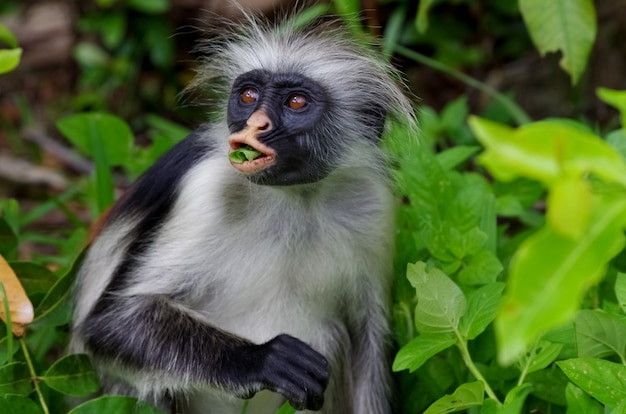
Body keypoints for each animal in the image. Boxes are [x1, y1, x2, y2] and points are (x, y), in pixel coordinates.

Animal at [69, 9, 414, 414]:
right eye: (249, 96)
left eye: (296, 102)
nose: (255, 123)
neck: (293, 198)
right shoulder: (203, 188)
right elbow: (112, 322)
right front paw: (261, 360)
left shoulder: (374, 207)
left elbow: (367, 342)